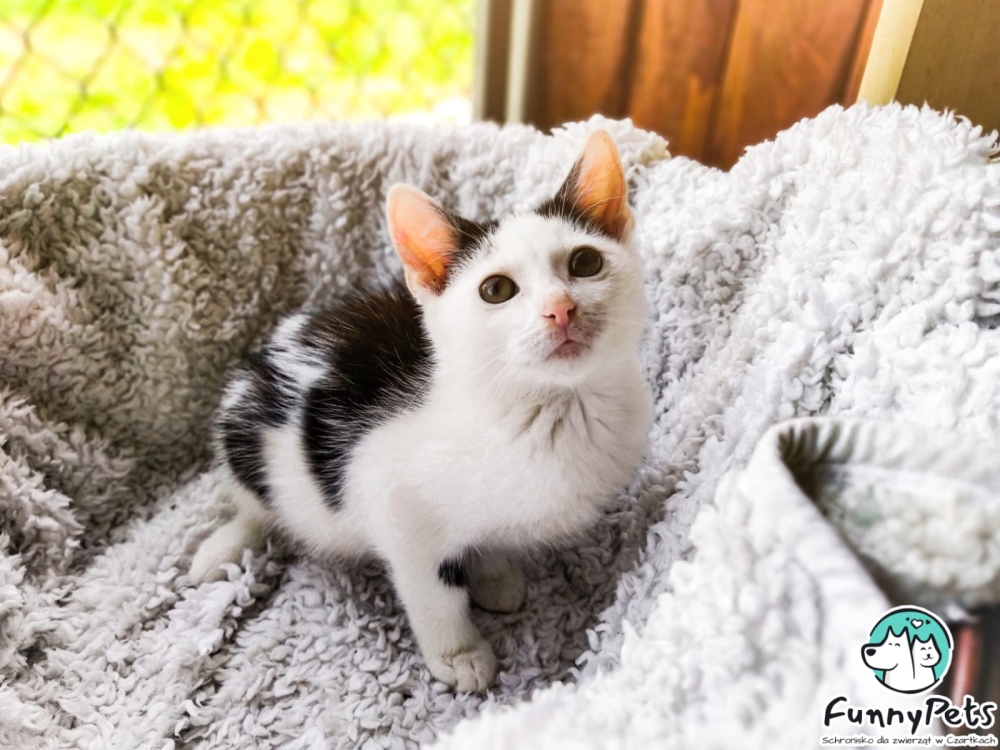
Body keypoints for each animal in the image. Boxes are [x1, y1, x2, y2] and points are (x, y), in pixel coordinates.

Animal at [188, 130, 653, 692]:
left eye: (585, 263)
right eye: (496, 290)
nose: (560, 309)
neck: (548, 410)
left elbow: (486, 534)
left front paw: (494, 572)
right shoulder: (388, 495)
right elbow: (433, 591)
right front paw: (459, 654)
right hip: (245, 432)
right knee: (255, 503)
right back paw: (225, 546)